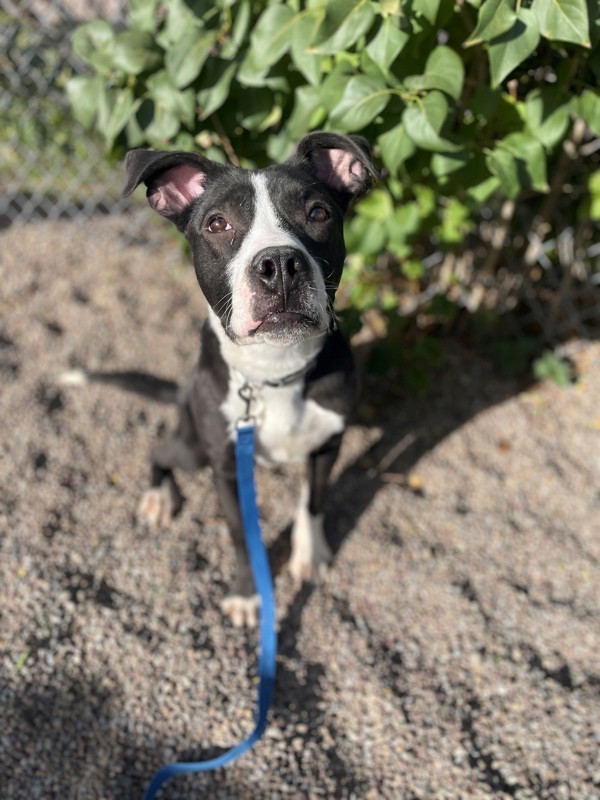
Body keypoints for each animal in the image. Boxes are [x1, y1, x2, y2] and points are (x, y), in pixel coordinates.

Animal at [67, 134, 376, 628]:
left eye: (317, 213)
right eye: (217, 223)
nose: (280, 264)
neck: (274, 371)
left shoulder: (328, 444)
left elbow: (313, 503)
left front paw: (309, 556)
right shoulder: (226, 466)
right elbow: (241, 536)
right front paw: (248, 596)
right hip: (193, 447)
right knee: (159, 451)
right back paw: (158, 498)